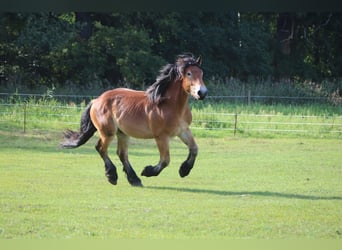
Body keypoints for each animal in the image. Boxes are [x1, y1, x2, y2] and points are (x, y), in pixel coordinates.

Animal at [60, 53, 207, 187]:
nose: (202, 93)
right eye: (189, 73)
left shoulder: (183, 130)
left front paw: (184, 170)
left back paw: (134, 180)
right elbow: (165, 160)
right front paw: (148, 171)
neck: (168, 105)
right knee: (101, 148)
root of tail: (96, 100)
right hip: (108, 133)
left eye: (201, 73)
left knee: (121, 154)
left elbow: (194, 149)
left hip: (122, 133)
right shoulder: (161, 137)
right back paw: (112, 176)